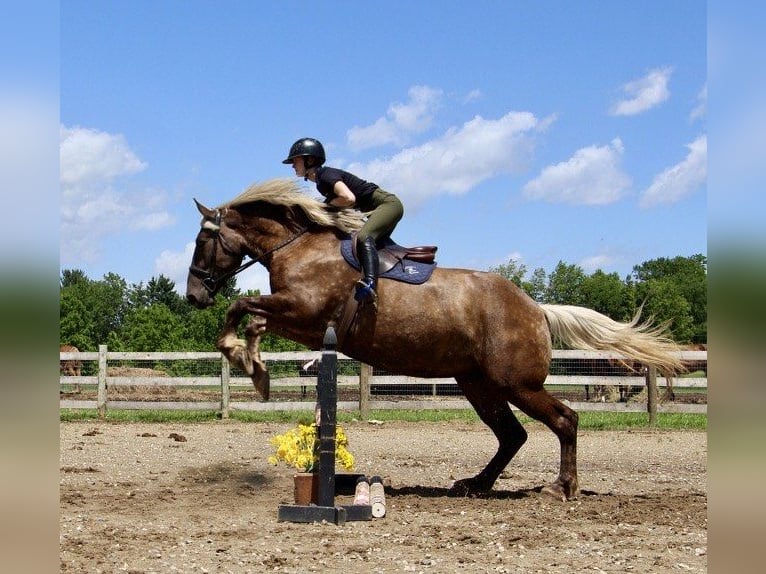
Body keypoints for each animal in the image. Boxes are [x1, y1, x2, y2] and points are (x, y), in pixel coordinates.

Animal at [186, 178, 684, 502]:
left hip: (515, 382)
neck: (297, 246)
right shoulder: (301, 322)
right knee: (513, 434)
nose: (192, 295)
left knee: (564, 420)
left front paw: (249, 364)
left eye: (201, 242)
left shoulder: (304, 313)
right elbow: (252, 318)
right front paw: (255, 367)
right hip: (477, 383)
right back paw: (475, 485)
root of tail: (537, 309)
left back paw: (561, 488)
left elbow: (242, 308)